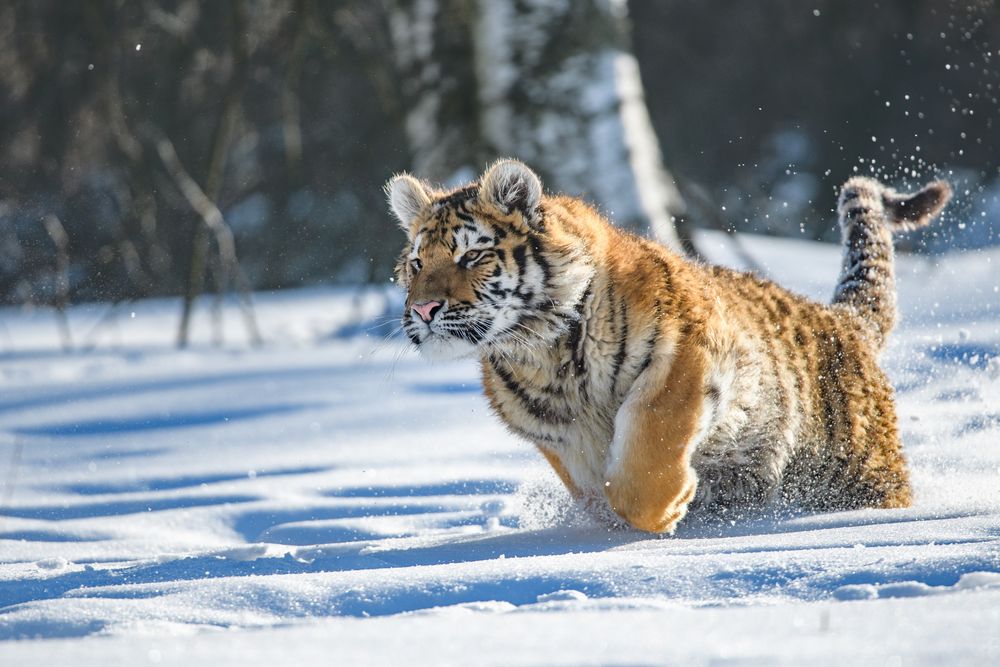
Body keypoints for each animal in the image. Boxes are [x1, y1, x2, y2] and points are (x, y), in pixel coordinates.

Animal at [384, 159, 952, 536]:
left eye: (472, 256)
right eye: (417, 262)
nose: (424, 309)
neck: (541, 351)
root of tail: (843, 320)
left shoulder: (683, 357)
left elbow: (645, 450)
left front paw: (666, 510)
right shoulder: (561, 436)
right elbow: (597, 484)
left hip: (860, 473)